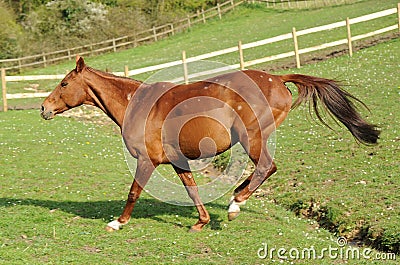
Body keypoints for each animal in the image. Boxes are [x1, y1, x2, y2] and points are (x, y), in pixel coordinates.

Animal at [42, 56, 380, 231]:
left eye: (64, 83)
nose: (43, 108)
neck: (137, 105)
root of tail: (277, 79)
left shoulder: (146, 161)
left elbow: (134, 192)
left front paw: (118, 222)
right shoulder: (178, 161)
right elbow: (192, 189)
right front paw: (200, 222)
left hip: (251, 138)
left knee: (267, 168)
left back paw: (235, 204)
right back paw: (233, 200)